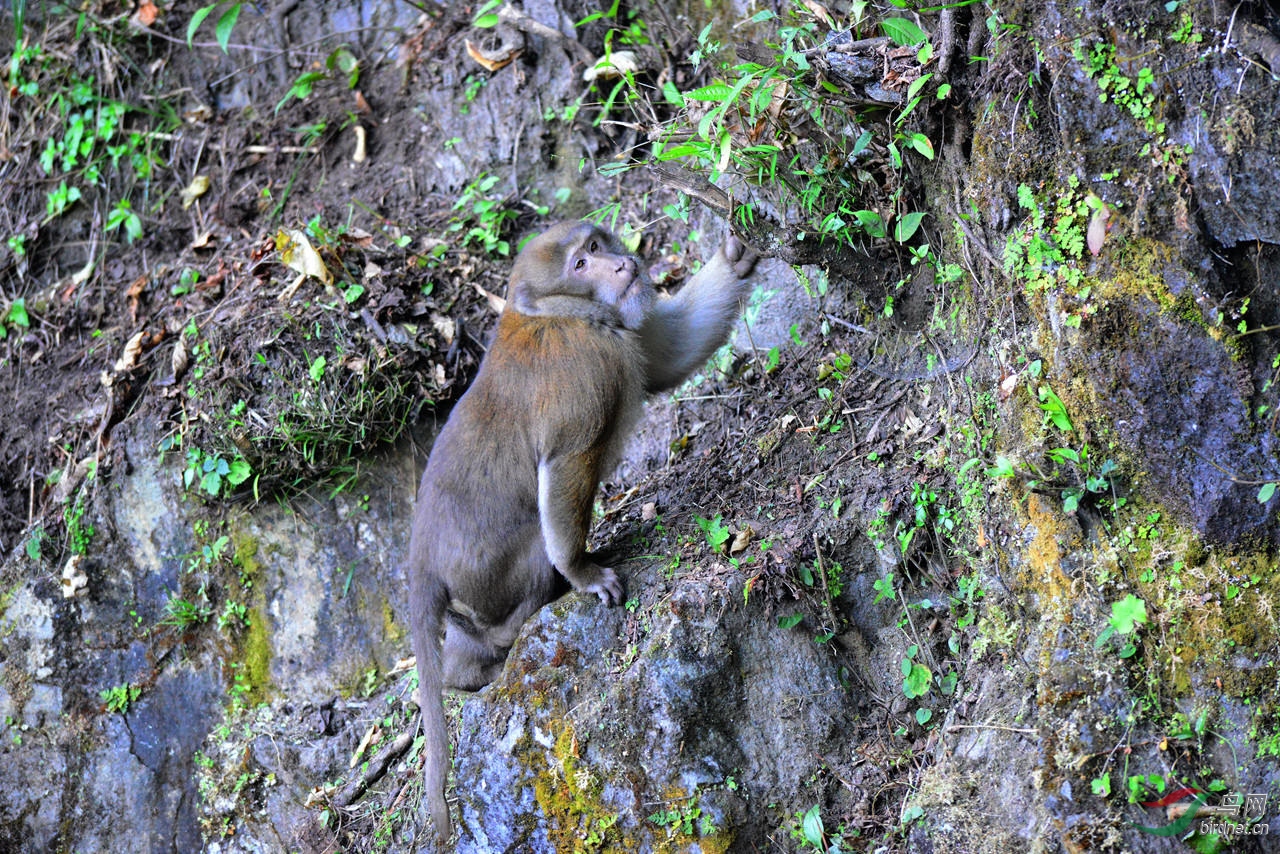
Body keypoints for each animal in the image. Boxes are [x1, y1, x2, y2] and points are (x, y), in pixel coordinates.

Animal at [404, 220, 752, 839]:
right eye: (580, 264)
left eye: (596, 245)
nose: (621, 266)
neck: (559, 312)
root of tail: (420, 557)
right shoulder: (587, 368)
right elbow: (567, 462)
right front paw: (584, 573)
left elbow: (667, 353)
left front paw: (732, 258)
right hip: (491, 575)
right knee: (532, 555)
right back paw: (514, 630)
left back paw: (462, 674)